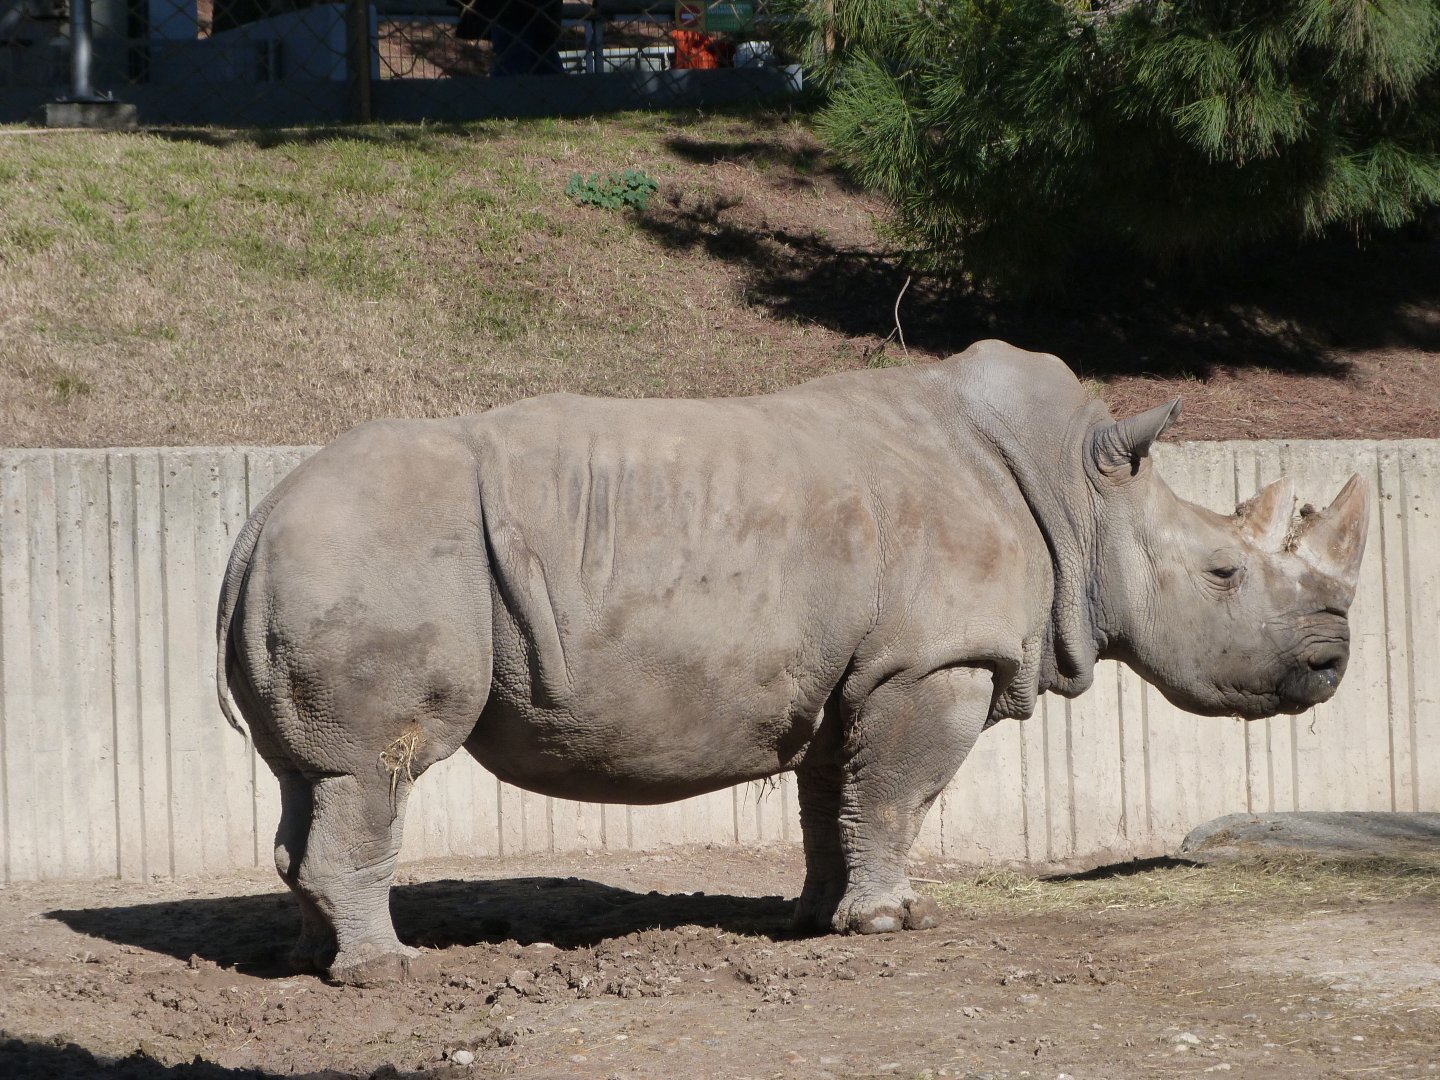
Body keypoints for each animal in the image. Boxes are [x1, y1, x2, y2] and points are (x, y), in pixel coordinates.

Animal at [217, 340, 1369, 986]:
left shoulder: (853, 671)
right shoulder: (931, 661)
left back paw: (314, 964)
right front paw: (894, 926)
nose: (1333, 660)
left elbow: (837, 800)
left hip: (326, 550)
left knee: (308, 777)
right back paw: (387, 976)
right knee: (374, 769)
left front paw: (819, 922)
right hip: (377, 550)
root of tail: (255, 521)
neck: (1086, 497)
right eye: (1225, 572)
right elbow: (900, 796)